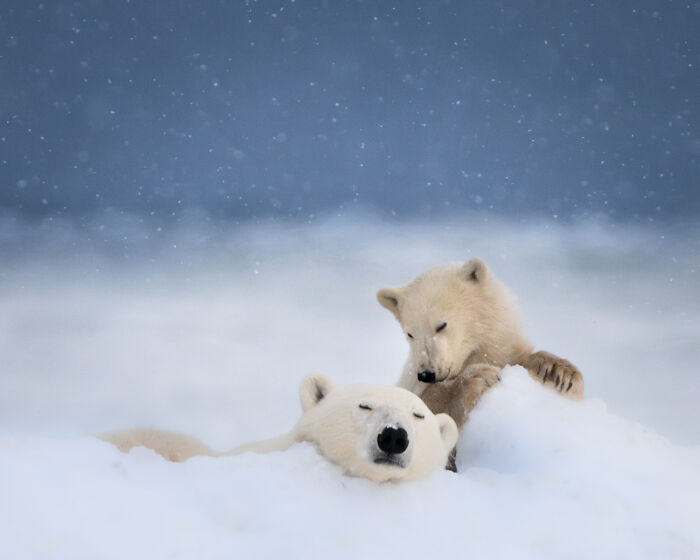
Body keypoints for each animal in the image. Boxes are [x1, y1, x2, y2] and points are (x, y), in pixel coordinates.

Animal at [377, 258, 584, 437]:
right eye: (410, 333)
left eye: (441, 325)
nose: (427, 374)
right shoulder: (411, 383)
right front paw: (479, 378)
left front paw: (559, 373)